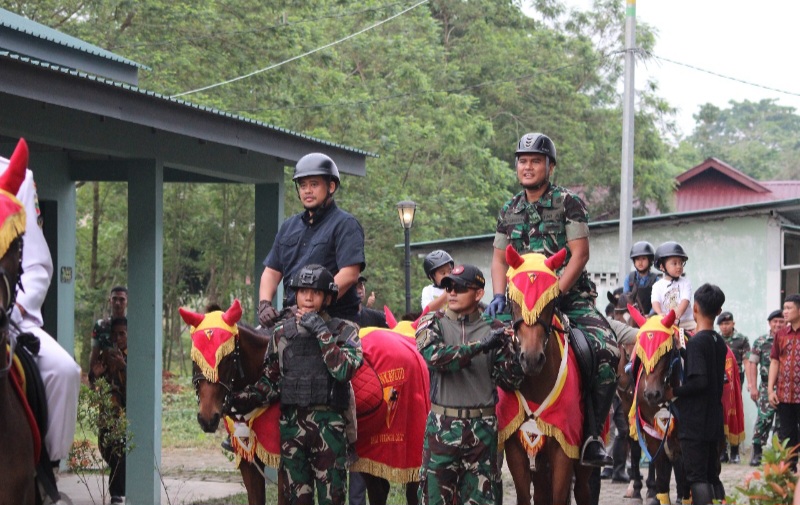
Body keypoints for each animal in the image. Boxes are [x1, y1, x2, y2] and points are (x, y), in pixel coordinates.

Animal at [184, 300, 428, 504]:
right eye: (194, 358)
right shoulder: (249, 461)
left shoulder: (284, 461)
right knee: (379, 490)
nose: (207, 418)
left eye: (225, 358)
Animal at [500, 247, 592, 504]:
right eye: (513, 300)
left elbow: (560, 496)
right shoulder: (516, 446)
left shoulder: (565, 446)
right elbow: (524, 495)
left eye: (551, 301)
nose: (531, 359)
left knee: (584, 491)